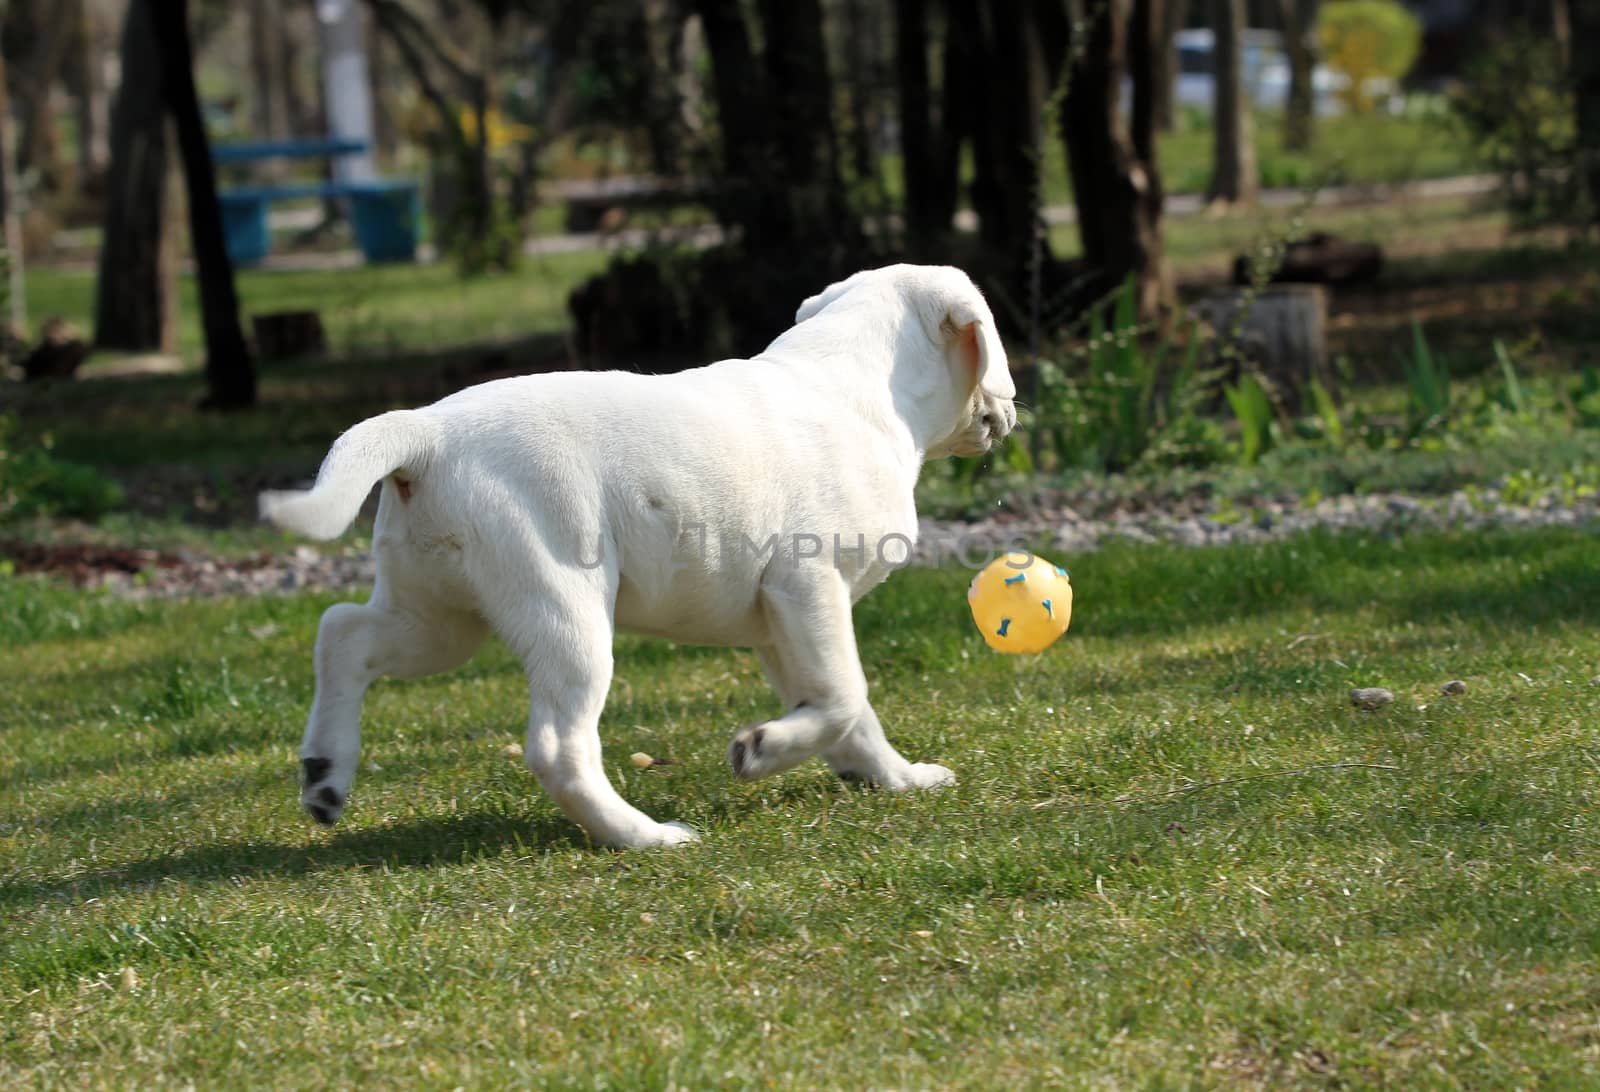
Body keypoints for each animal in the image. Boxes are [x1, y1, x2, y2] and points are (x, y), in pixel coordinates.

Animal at [259, 260, 1011, 839]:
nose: (1010, 410)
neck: (857, 388)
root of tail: (427, 434)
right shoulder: (810, 586)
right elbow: (846, 694)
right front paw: (761, 750)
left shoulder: (781, 622)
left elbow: (842, 708)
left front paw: (894, 777)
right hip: (567, 614)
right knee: (559, 748)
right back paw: (646, 836)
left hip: (440, 618)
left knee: (344, 634)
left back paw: (325, 776)